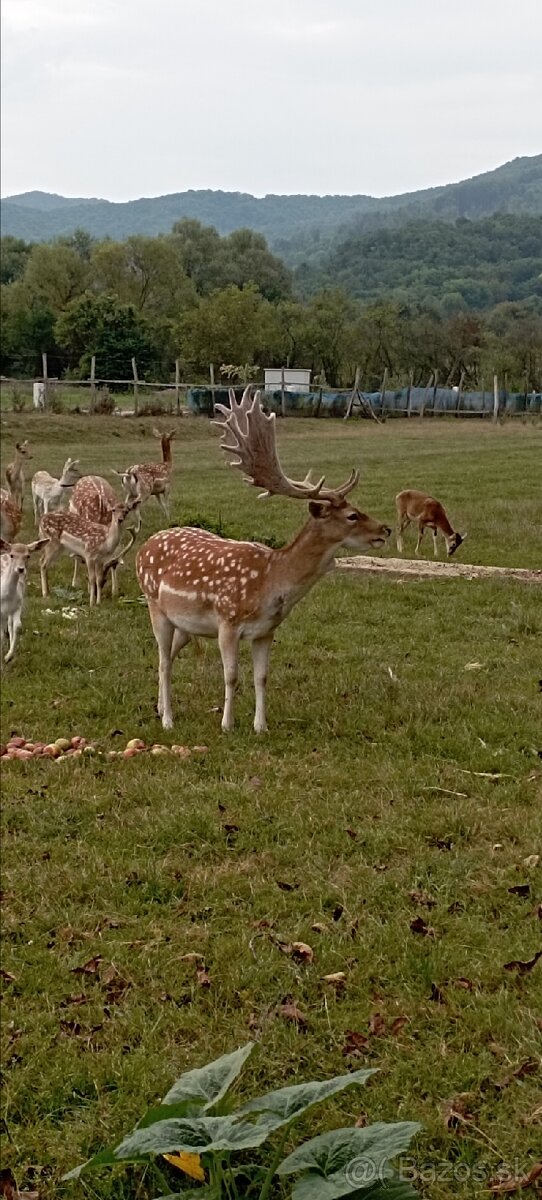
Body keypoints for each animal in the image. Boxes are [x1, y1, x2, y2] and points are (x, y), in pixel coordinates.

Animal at [135, 388, 388, 734]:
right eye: (352, 515)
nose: (386, 529)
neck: (271, 582)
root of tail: (142, 548)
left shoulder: (267, 630)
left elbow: (262, 677)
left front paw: (260, 726)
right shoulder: (228, 621)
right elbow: (231, 676)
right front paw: (227, 725)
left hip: (184, 623)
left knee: (170, 657)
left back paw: (160, 708)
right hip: (155, 605)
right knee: (162, 659)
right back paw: (168, 720)